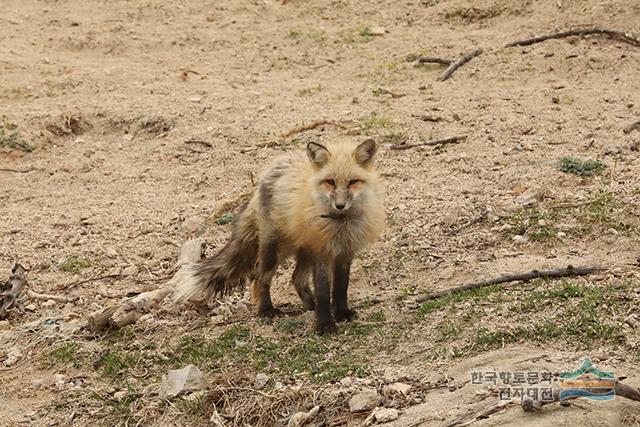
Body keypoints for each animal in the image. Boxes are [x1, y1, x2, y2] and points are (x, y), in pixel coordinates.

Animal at [172, 140, 384, 334]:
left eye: (353, 182)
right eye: (330, 182)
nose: (340, 205)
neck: (340, 225)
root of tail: (267, 174)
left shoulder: (344, 252)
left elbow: (340, 287)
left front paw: (340, 313)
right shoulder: (321, 251)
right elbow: (324, 291)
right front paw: (325, 323)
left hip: (302, 249)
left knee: (297, 278)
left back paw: (310, 306)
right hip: (275, 250)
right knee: (259, 278)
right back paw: (267, 310)